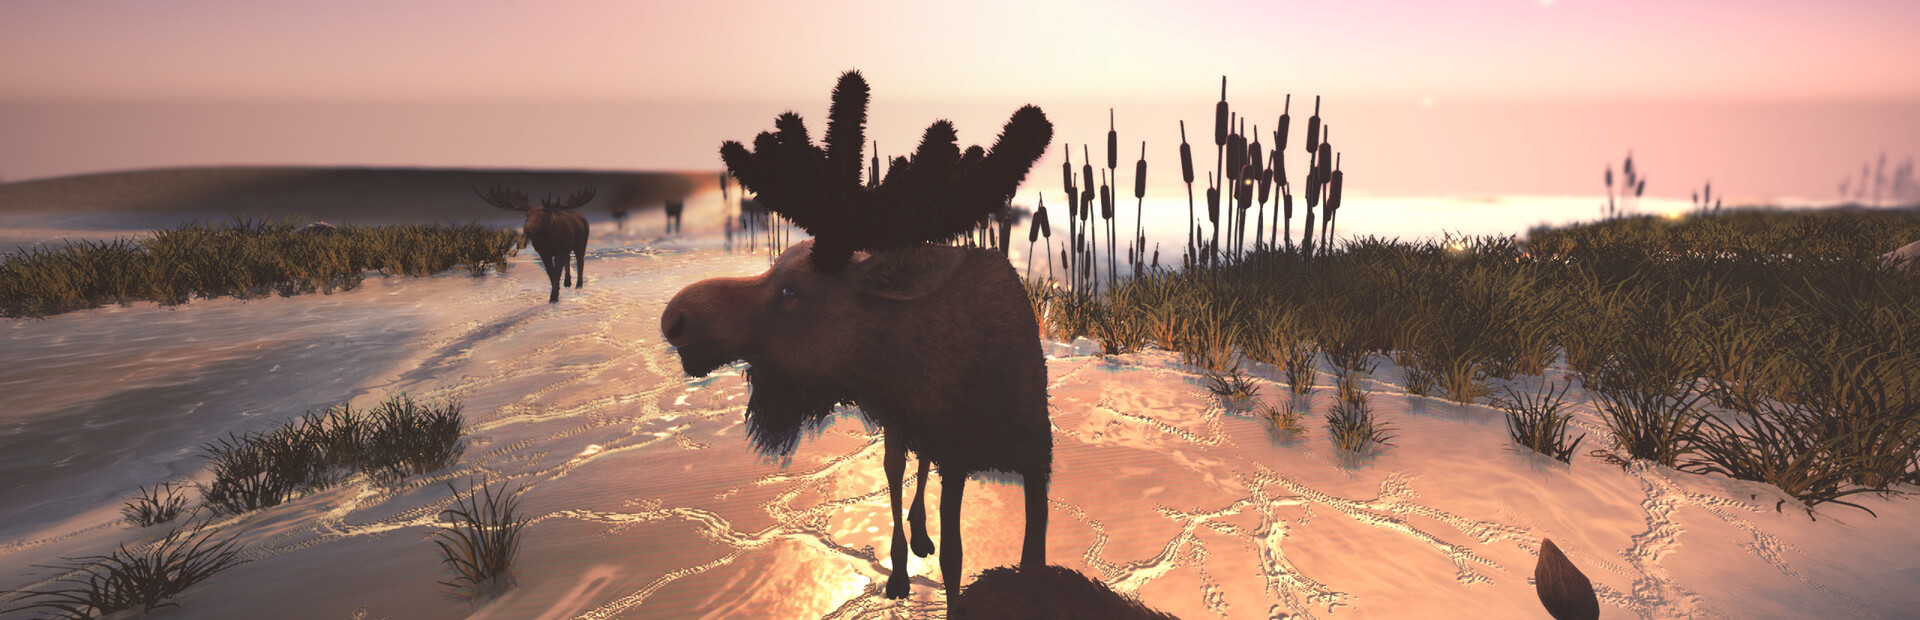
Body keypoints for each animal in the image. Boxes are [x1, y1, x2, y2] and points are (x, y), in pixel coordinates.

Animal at [660, 70, 1054, 609]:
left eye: (791, 290)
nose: (674, 318)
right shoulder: (950, 451)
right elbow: (953, 556)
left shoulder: (1035, 460)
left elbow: (1025, 556)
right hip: (899, 429)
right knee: (895, 474)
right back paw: (901, 568)